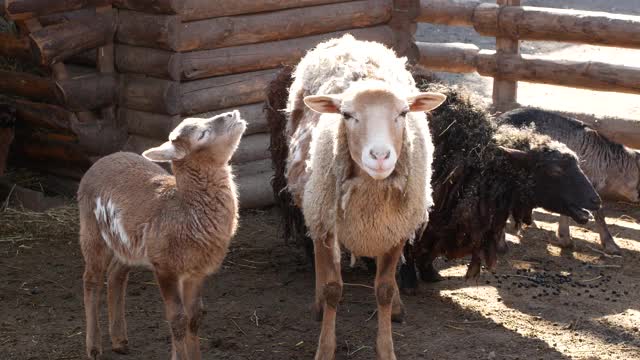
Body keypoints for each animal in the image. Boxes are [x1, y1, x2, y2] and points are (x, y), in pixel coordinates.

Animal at [75, 111, 245, 358]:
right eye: (202, 134)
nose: (234, 114)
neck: (186, 211)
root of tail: (103, 159)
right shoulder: (165, 268)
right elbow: (177, 319)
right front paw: (180, 356)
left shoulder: (196, 272)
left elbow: (195, 316)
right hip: (91, 229)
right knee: (91, 280)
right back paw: (94, 348)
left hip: (128, 243)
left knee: (116, 274)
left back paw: (119, 341)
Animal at [284, 34, 444, 360]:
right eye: (347, 115)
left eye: (403, 113)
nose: (380, 156)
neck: (370, 202)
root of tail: (350, 40)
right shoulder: (329, 226)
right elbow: (333, 289)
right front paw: (325, 348)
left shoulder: (394, 230)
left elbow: (384, 289)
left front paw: (386, 348)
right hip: (315, 205)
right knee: (316, 254)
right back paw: (318, 305)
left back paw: (397, 307)